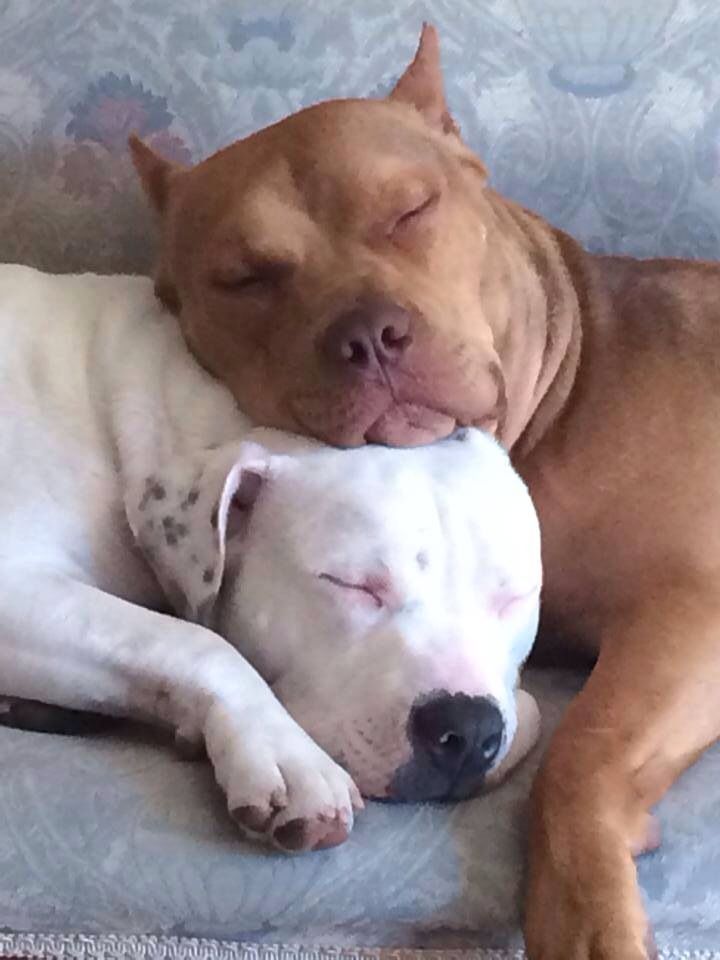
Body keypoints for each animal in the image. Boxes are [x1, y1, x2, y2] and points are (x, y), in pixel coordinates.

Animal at [0, 262, 540, 856]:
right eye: (351, 584)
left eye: (514, 598)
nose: (468, 728)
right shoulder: (16, 584)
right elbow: (195, 642)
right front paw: (288, 756)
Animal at [125, 24, 720, 960]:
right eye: (246, 276)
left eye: (411, 210)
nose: (369, 333)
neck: (564, 399)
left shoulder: (692, 613)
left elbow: (582, 752)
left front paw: (587, 911)